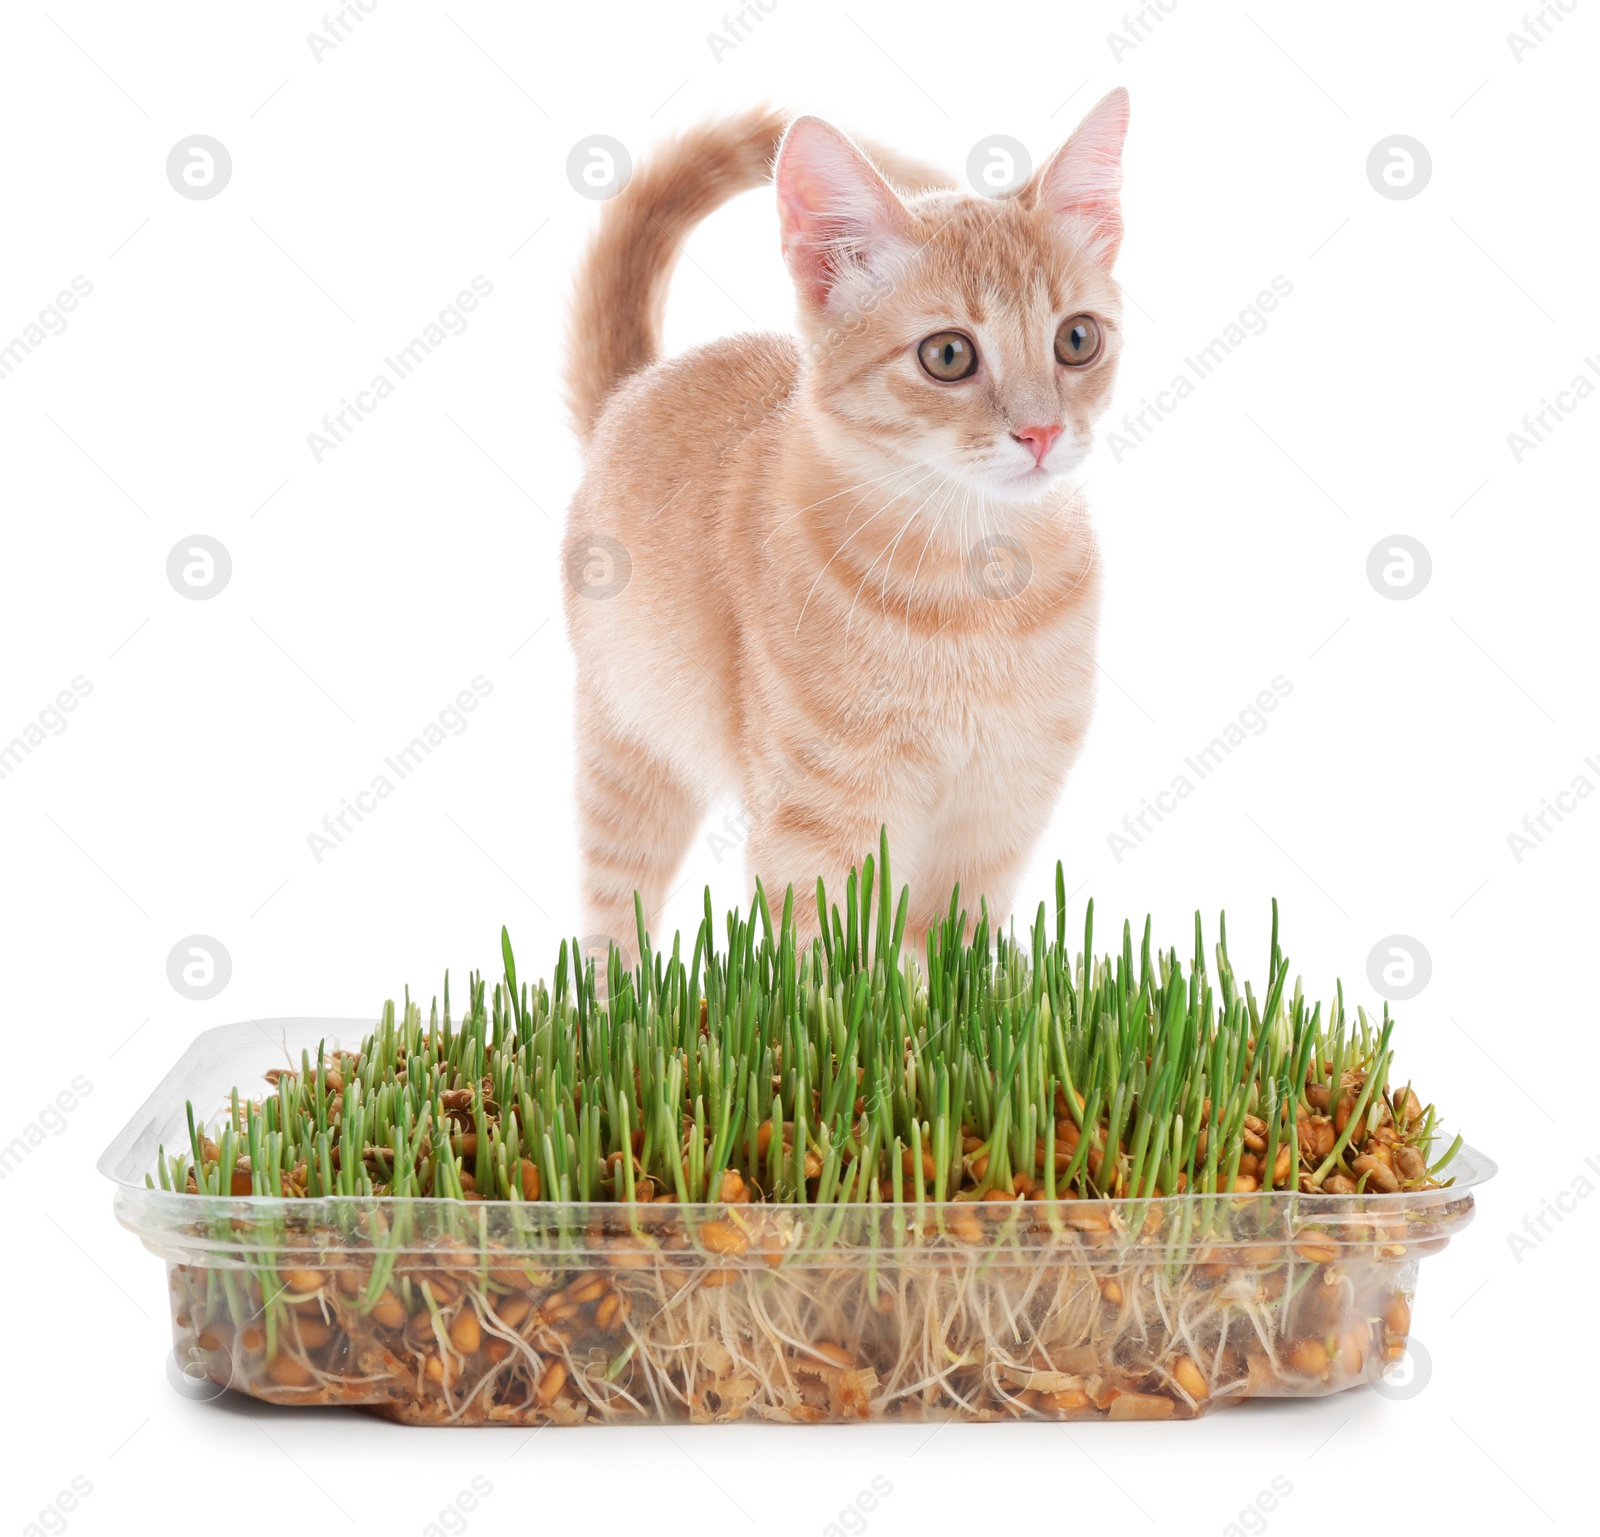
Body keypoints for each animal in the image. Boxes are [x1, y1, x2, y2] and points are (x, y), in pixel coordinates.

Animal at [563, 89, 1126, 953]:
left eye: (1077, 339)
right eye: (949, 356)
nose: (1041, 431)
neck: (976, 587)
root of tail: (637, 384)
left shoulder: (995, 822)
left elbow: (959, 964)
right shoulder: (816, 825)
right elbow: (835, 965)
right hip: (626, 750)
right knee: (610, 926)